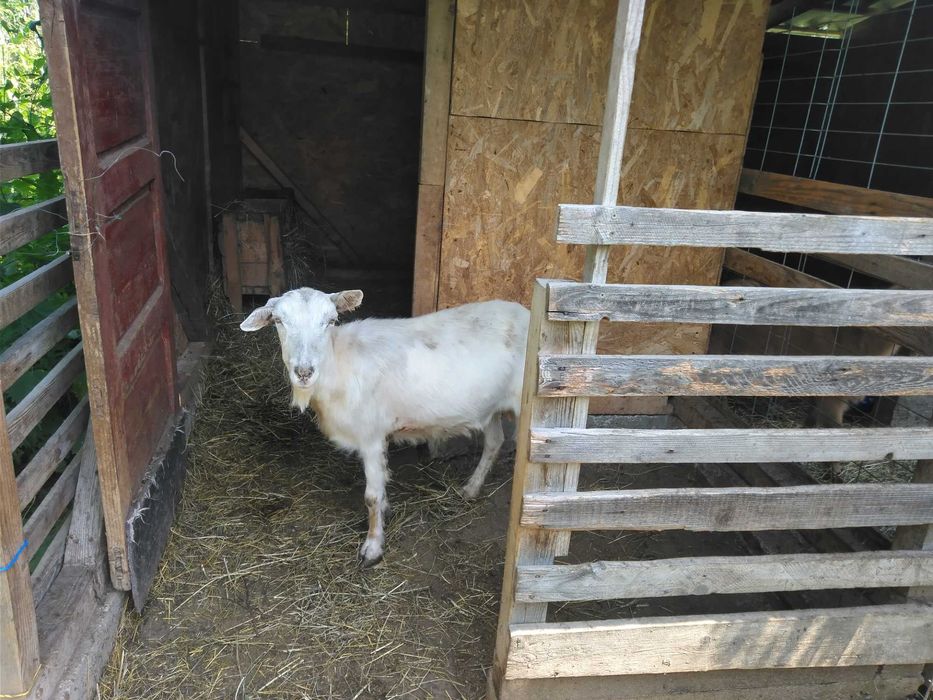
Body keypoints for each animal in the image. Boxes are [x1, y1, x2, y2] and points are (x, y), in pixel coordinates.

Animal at [241, 288, 529, 566]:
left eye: (331, 320)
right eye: (279, 321)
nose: (304, 372)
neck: (339, 365)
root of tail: (527, 314)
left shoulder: (370, 435)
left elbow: (371, 496)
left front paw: (372, 548)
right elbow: (381, 484)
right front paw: (385, 511)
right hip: (490, 405)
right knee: (495, 441)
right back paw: (471, 489)